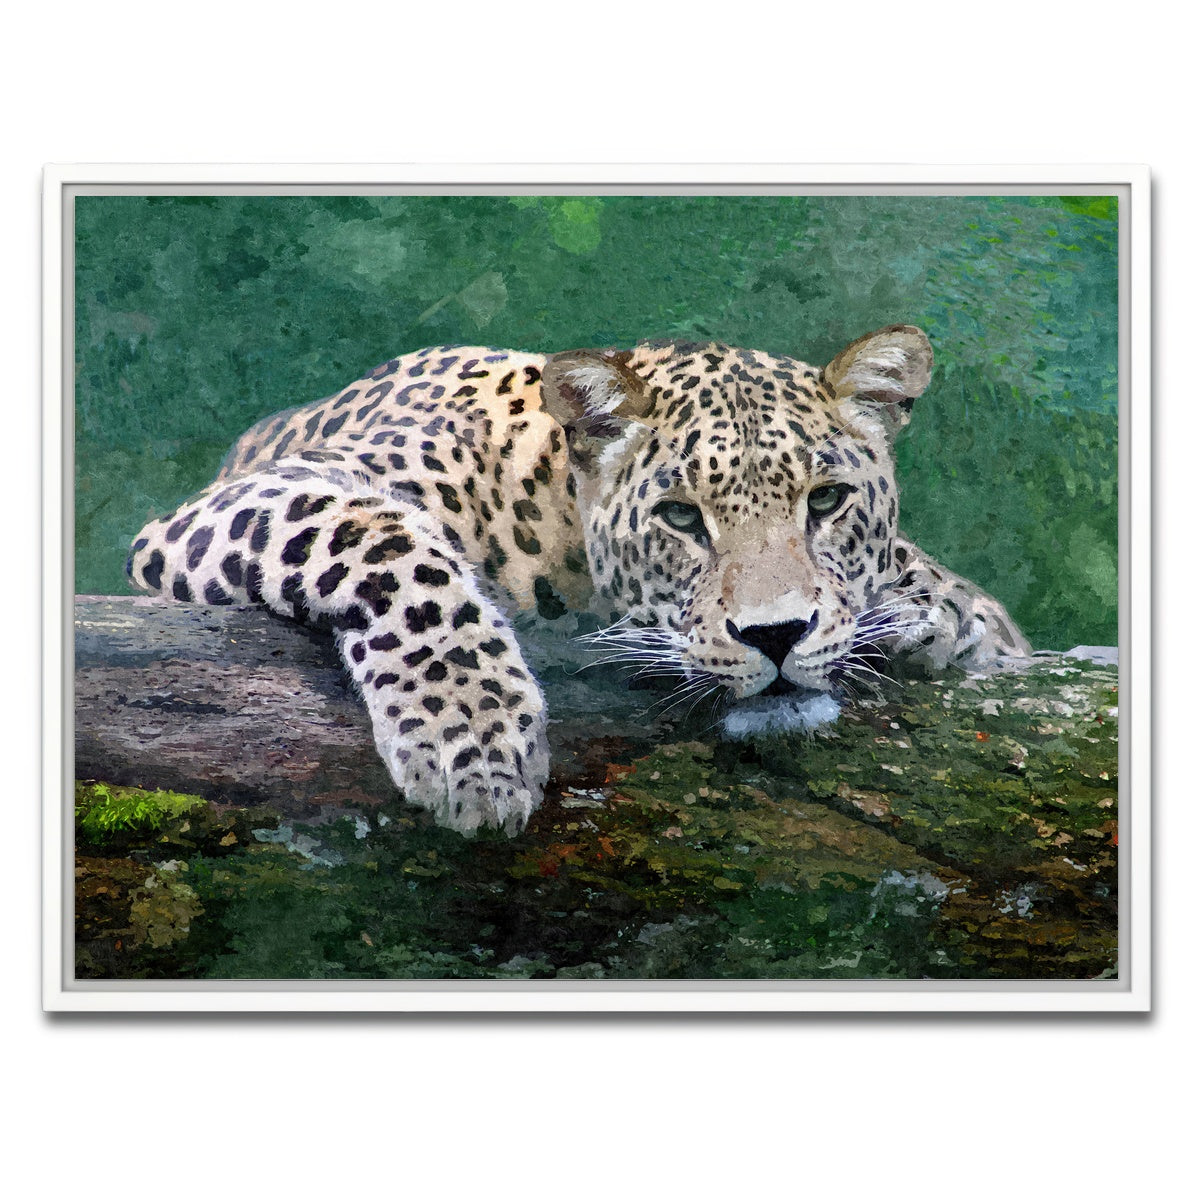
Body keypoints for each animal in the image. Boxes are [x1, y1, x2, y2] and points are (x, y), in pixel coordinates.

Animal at [127, 324, 1030, 835]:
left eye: (829, 501)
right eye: (680, 517)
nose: (776, 636)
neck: (552, 514)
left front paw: (942, 614)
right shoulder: (253, 498)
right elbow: (392, 548)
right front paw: (474, 743)